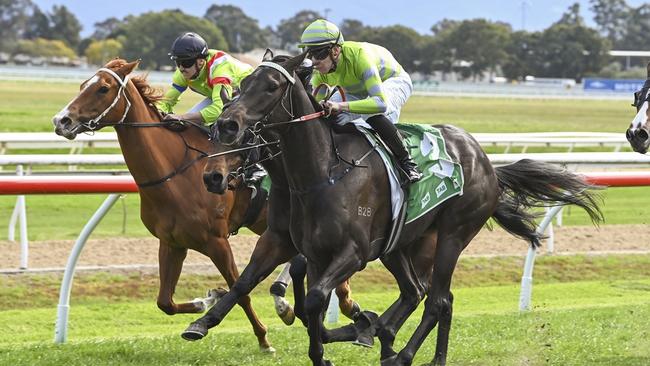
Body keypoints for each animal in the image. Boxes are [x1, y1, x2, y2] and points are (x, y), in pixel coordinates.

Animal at [50, 59, 272, 352]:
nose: (61, 121)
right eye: (82, 85)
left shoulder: (217, 241)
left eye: (103, 88)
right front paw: (205, 299)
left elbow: (240, 291)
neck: (175, 173)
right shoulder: (172, 242)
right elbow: (165, 302)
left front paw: (263, 338)